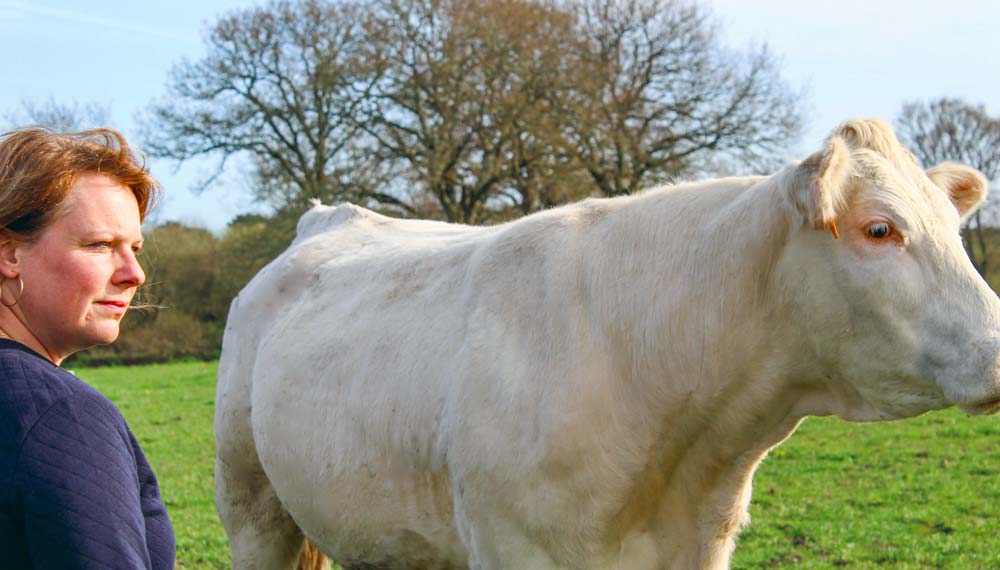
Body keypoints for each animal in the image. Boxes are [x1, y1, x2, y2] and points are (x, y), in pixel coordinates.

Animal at [213, 116, 1000, 568]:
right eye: (880, 229)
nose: (999, 349)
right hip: (250, 503)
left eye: (952, 226)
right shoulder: (514, 549)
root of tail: (327, 216)